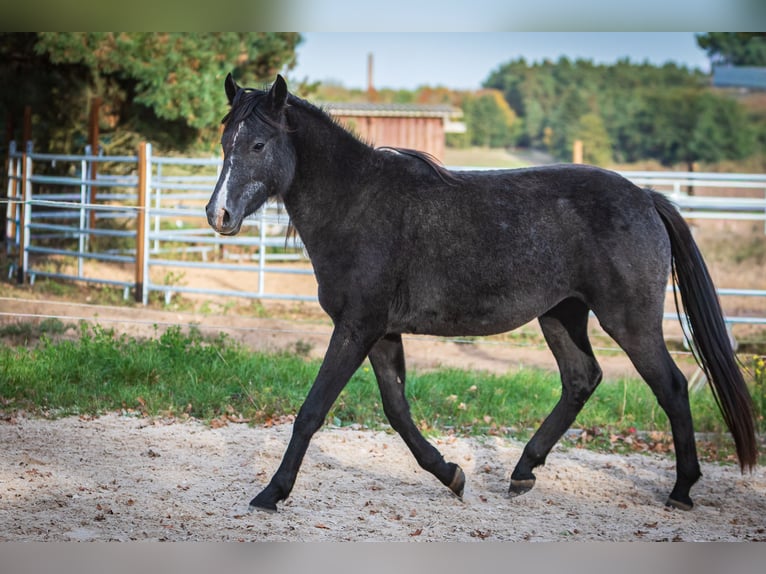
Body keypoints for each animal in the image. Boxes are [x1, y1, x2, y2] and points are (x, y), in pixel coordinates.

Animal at [205, 74, 757, 513]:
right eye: (226, 140)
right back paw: (523, 471)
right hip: (562, 314)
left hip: (630, 321)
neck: (358, 203)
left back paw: (682, 490)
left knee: (672, 387)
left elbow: (312, 412)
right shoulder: (379, 332)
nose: (218, 215)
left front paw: (271, 493)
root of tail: (645, 197)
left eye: (258, 145)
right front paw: (451, 473)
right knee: (582, 379)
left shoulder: (356, 327)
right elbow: (397, 411)